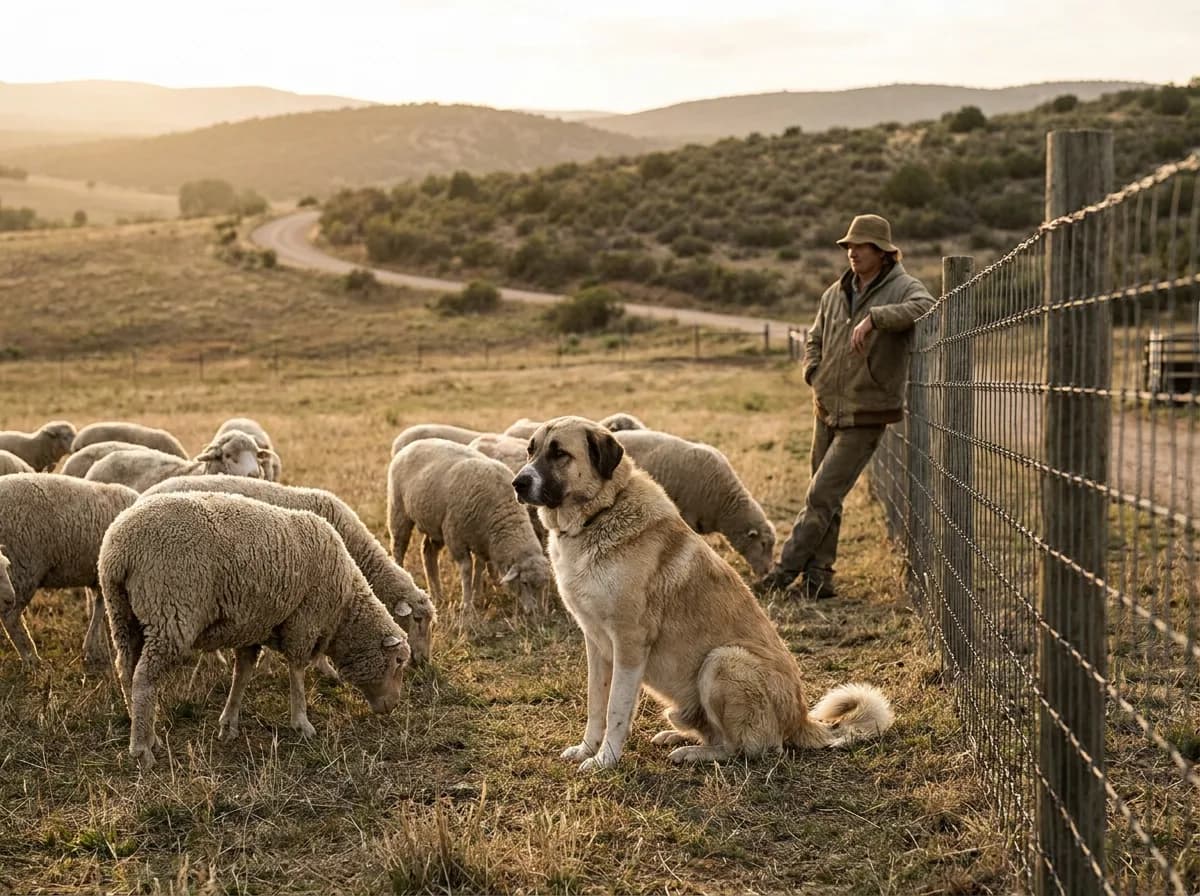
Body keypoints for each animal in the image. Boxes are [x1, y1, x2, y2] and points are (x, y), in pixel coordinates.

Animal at [0, 474, 139, 666]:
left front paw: (96, 649)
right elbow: (101, 610)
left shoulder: (99, 578)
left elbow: (98, 609)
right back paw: (31, 658)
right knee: (11, 618)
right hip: (23, 567)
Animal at [99, 491, 411, 771]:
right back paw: (142, 749)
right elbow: (297, 672)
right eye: (398, 662)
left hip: (123, 615)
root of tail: (119, 550)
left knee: (126, 670)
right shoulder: (304, 621)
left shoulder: (252, 625)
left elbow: (243, 674)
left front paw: (229, 724)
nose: (393, 706)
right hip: (170, 613)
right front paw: (302, 723)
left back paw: (144, 731)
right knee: (144, 678)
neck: (345, 610)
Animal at [388, 438, 552, 622]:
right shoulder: (454, 536)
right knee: (398, 548)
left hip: (435, 523)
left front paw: (477, 595)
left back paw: (437, 594)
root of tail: (412, 445)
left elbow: (479, 566)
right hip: (399, 511)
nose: (537, 614)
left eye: (544, 586)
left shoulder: (482, 540)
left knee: (428, 552)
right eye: (524, 583)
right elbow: (467, 569)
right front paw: (466, 605)